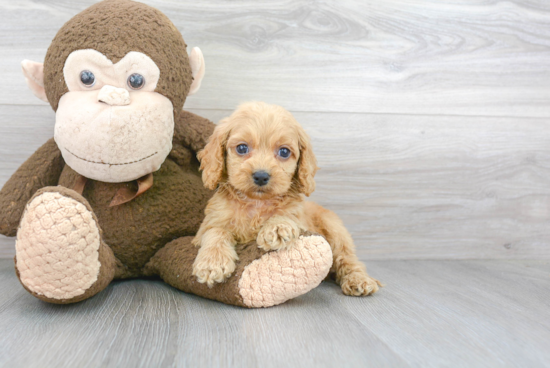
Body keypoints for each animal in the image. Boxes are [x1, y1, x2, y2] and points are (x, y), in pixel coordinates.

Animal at [192, 101, 382, 296]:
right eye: (242, 148)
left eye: (284, 152)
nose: (261, 176)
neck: (257, 203)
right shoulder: (206, 227)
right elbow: (216, 231)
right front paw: (212, 262)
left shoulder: (301, 220)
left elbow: (287, 215)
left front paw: (277, 227)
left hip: (335, 230)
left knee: (347, 259)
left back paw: (358, 280)